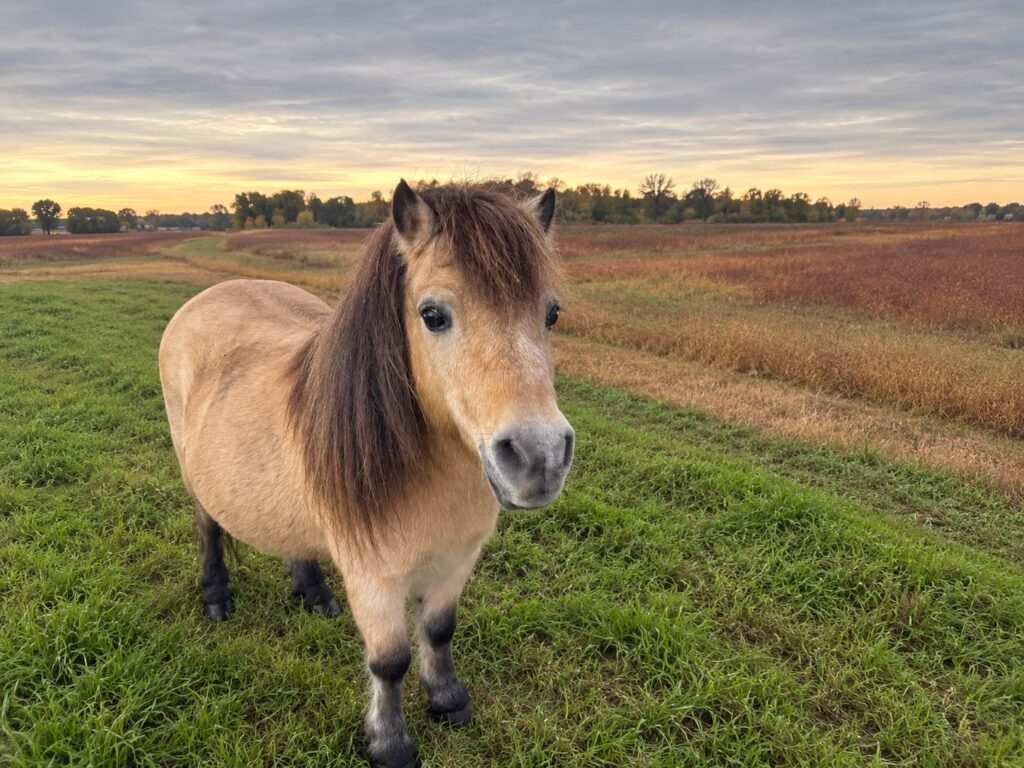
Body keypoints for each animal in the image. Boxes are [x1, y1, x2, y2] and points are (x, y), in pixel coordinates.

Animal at [158, 181, 574, 767]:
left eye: (551, 314)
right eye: (432, 315)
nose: (540, 458)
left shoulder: (456, 560)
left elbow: (439, 631)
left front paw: (448, 700)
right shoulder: (373, 577)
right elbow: (389, 661)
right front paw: (390, 744)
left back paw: (313, 593)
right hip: (195, 474)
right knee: (208, 527)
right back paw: (216, 596)